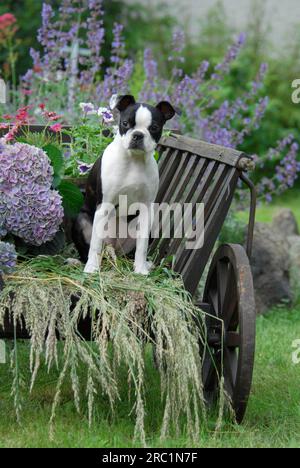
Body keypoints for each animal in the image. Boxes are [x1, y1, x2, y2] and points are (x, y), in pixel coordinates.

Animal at [72, 95, 178, 276]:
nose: (138, 135)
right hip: (82, 220)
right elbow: (95, 244)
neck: (133, 160)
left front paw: (140, 269)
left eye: (154, 127)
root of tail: (113, 247)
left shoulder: (146, 208)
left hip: (148, 228)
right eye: (126, 123)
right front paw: (92, 268)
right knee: (90, 248)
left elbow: (142, 246)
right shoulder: (104, 205)